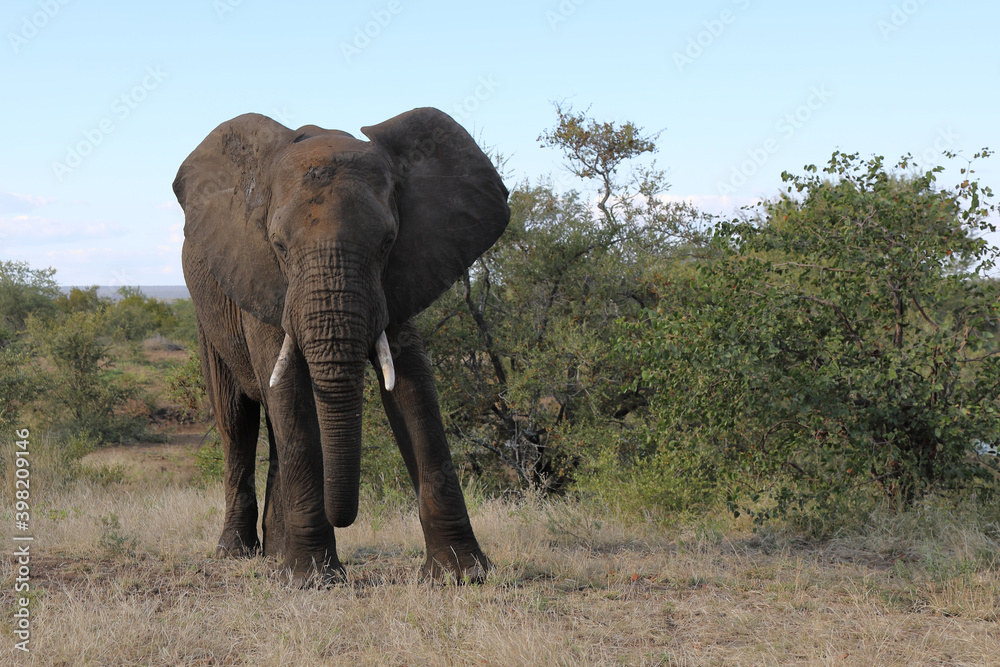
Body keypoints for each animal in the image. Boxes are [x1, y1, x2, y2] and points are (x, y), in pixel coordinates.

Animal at [172, 107, 509, 584]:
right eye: (278, 246)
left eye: (387, 243)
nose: (344, 517)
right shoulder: (261, 276)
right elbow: (287, 393)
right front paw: (310, 579)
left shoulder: (402, 273)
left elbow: (414, 390)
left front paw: (461, 575)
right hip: (207, 309)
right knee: (237, 419)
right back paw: (236, 553)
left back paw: (276, 553)